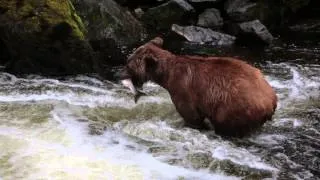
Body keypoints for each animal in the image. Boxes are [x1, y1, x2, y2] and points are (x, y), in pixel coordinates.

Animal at [119, 37, 276, 137]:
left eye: (128, 64)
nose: (120, 74)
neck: (166, 76)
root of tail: (271, 100)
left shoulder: (182, 88)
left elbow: (191, 115)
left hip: (233, 107)